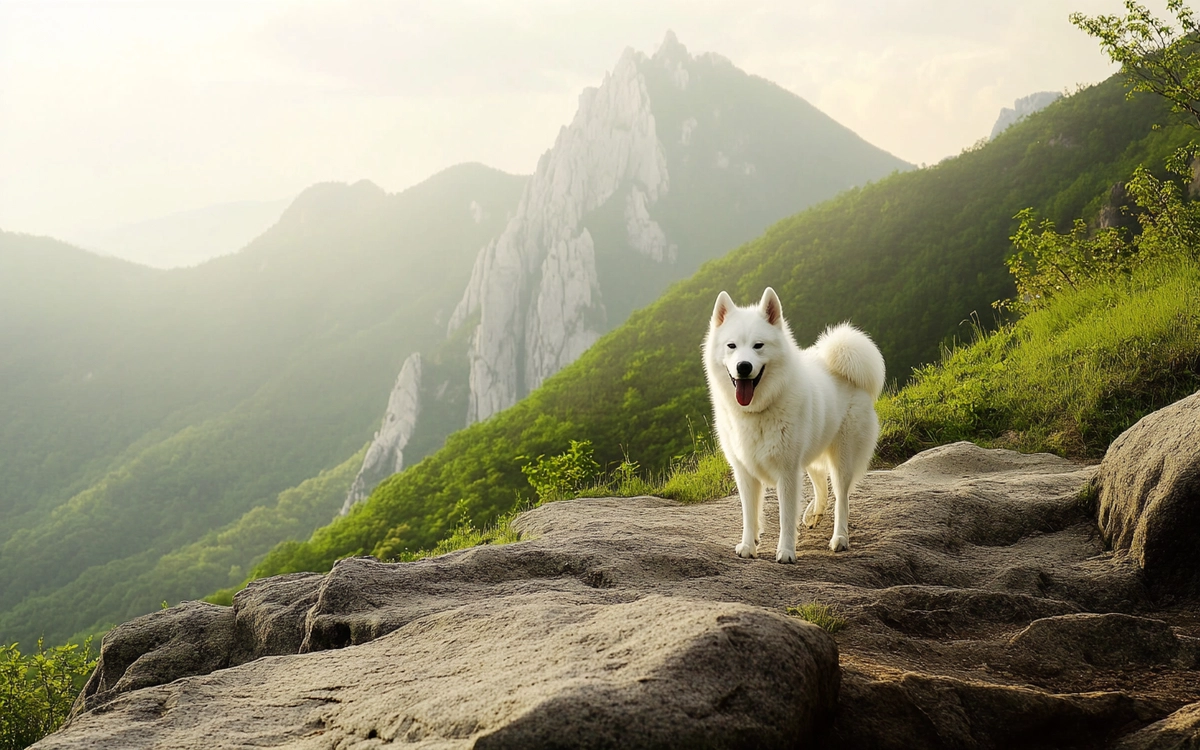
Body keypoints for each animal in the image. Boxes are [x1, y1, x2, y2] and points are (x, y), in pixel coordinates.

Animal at [700, 286, 883, 561]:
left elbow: (786, 517)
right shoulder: (745, 472)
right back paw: (815, 513)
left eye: (758, 346)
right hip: (813, 450)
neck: (757, 412)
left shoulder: (787, 472)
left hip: (842, 457)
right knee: (820, 482)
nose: (743, 367)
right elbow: (749, 514)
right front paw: (749, 545)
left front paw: (786, 552)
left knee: (842, 497)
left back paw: (839, 538)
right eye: (731, 346)